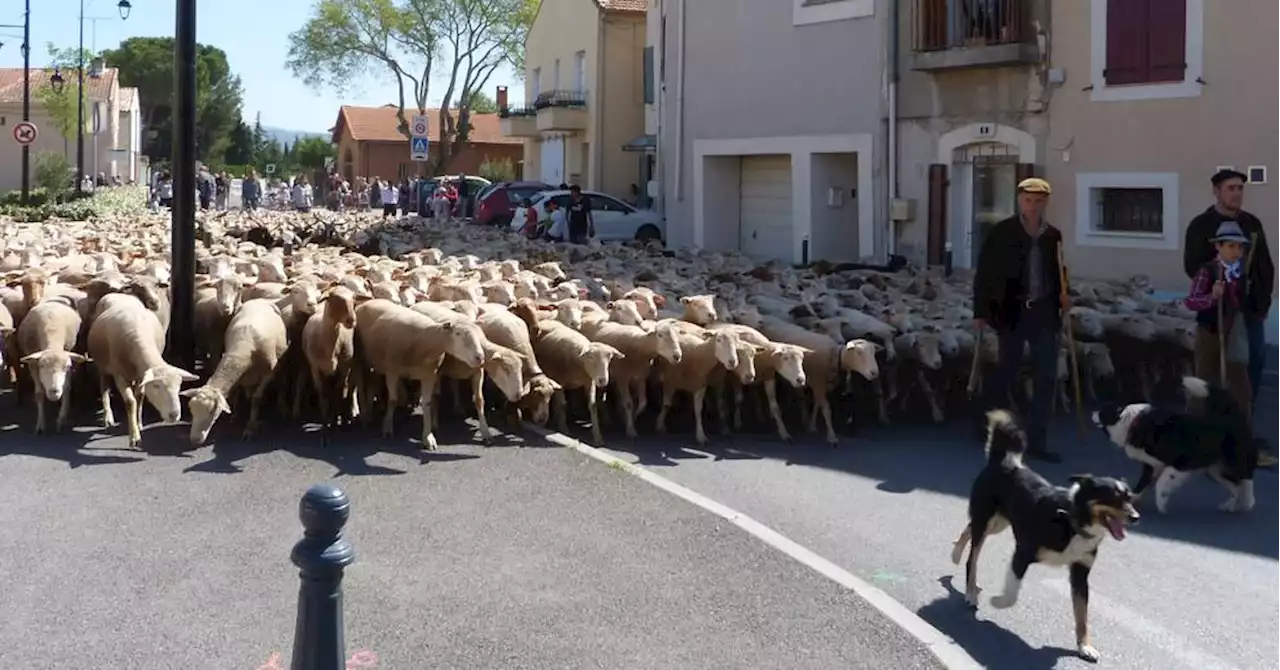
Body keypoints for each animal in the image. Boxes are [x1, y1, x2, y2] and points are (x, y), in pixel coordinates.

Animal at [15, 297, 87, 435]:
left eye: (67, 367)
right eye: (42, 366)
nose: (54, 391)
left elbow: (67, 388)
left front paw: (61, 420)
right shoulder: (33, 364)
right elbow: (39, 393)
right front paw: (40, 425)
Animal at [183, 298, 290, 445]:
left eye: (212, 412)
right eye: (191, 409)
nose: (195, 439)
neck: (243, 349)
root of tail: (259, 299)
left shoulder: (269, 374)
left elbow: (256, 398)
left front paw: (250, 428)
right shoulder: (238, 374)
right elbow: (235, 392)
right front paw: (235, 415)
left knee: (281, 382)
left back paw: (282, 405)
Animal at [952, 409, 1141, 666]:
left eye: (1129, 497)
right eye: (1112, 497)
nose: (1135, 517)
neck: (1072, 518)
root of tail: (1005, 462)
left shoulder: (1080, 573)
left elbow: (1082, 614)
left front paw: (1085, 647)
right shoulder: (1023, 553)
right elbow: (1012, 594)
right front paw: (997, 602)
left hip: (999, 522)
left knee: (968, 529)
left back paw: (955, 553)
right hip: (987, 520)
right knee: (973, 557)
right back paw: (970, 590)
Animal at [1090, 376, 1259, 514]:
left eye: (1102, 411)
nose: (1092, 412)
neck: (1132, 423)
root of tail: (1231, 414)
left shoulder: (1180, 462)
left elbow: (1161, 482)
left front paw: (1161, 501)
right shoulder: (1151, 465)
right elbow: (1141, 485)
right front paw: (1130, 501)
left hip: (1233, 460)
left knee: (1246, 478)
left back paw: (1248, 501)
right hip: (1214, 470)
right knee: (1236, 487)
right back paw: (1230, 505)